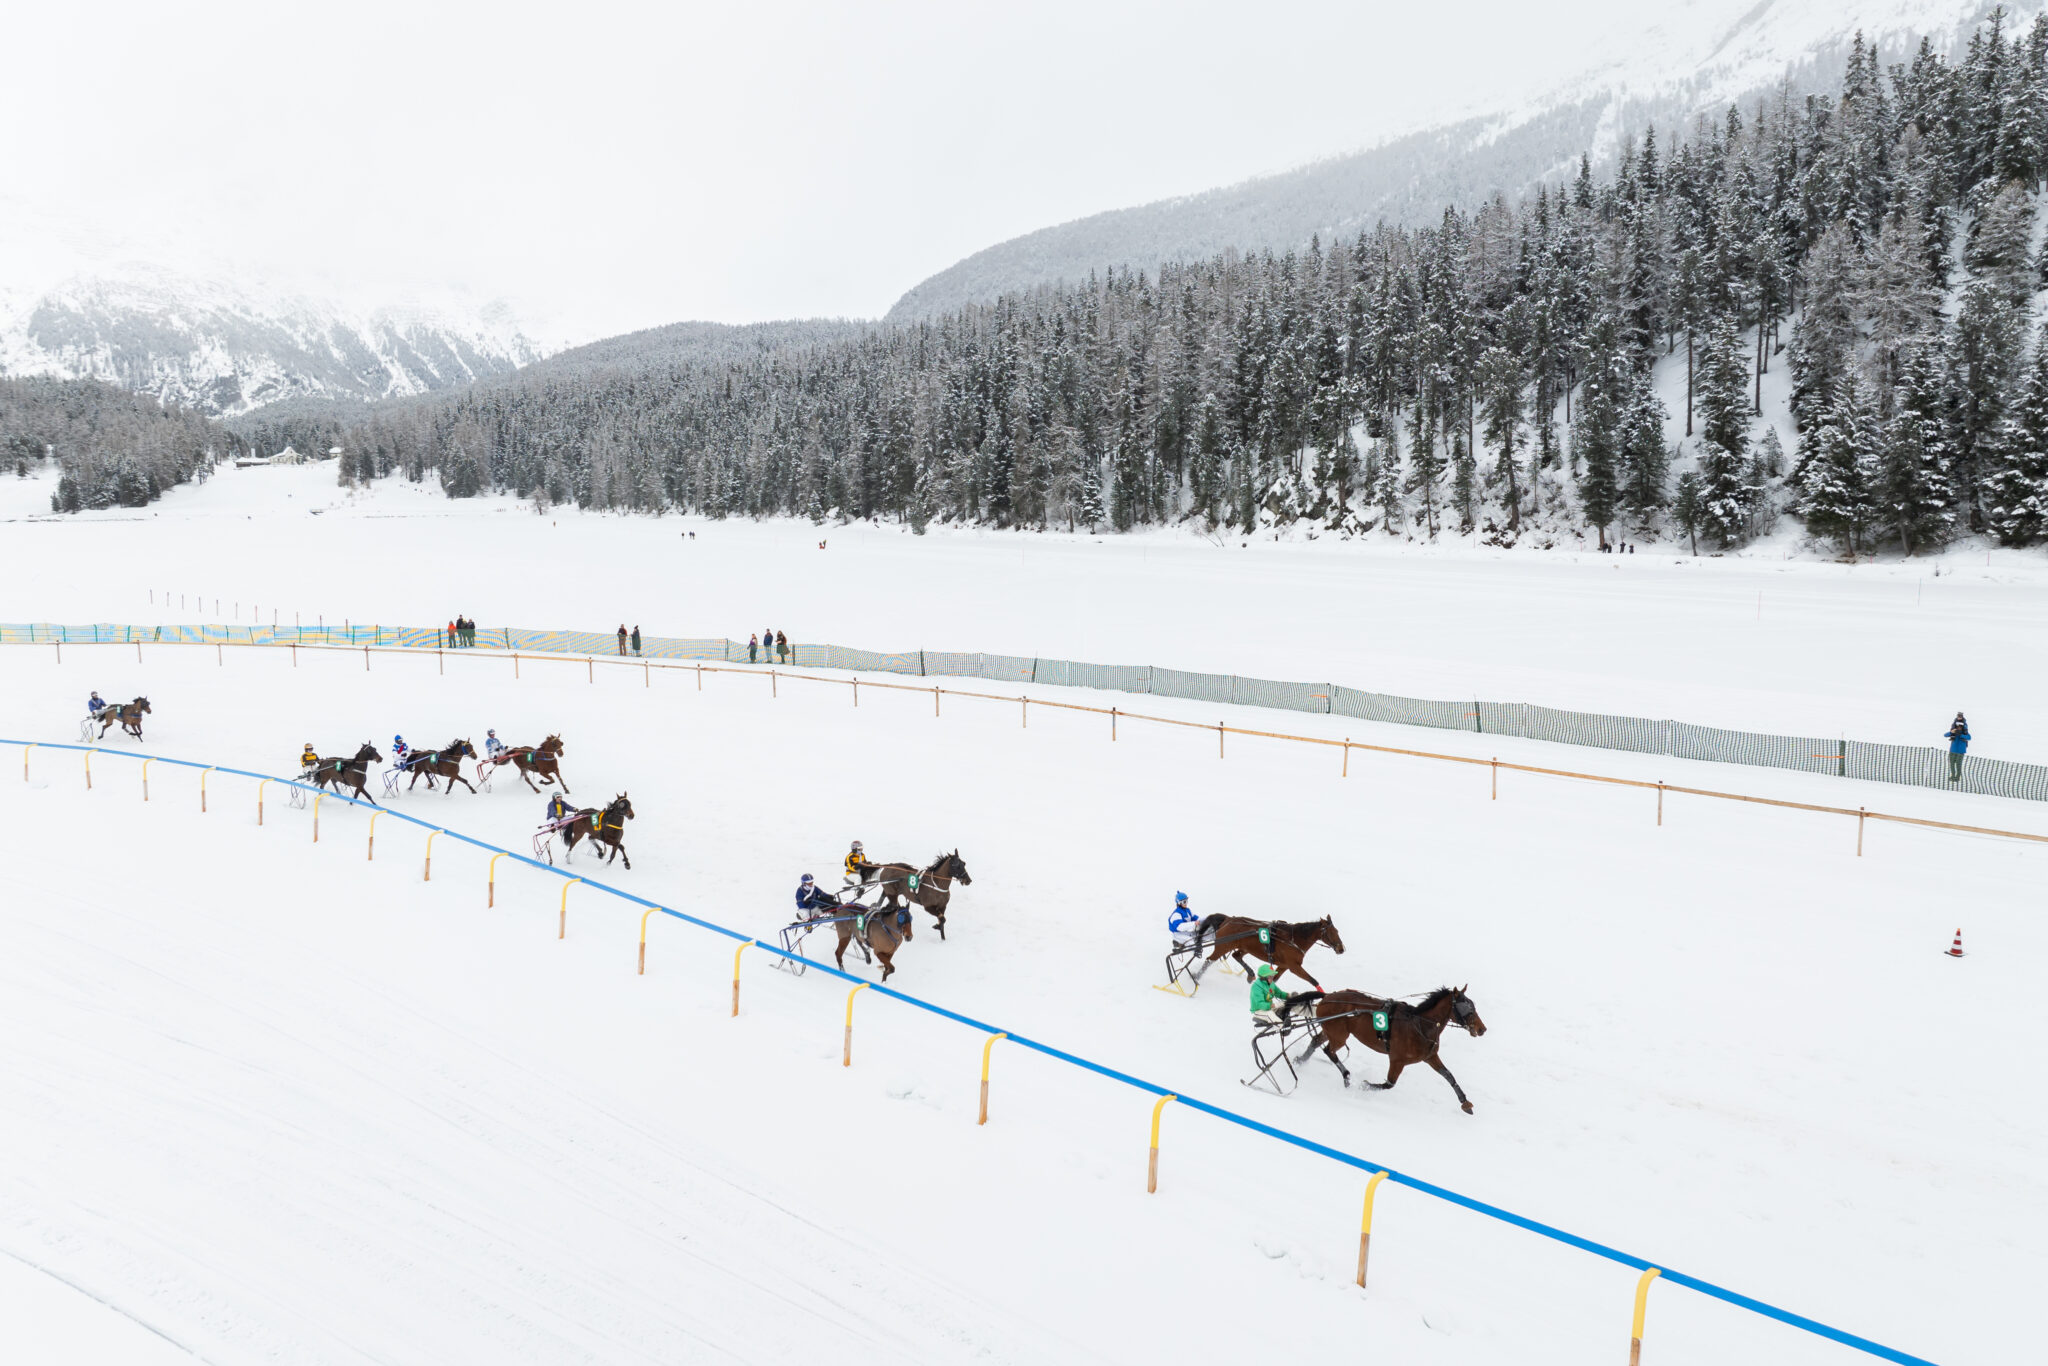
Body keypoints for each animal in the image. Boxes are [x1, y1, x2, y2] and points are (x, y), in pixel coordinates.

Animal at [1187, 913, 1343, 987]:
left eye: (1337, 931)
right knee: (1209, 960)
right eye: (1331, 932)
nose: (1341, 948)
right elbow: (1313, 980)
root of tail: (1228, 919)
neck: (1293, 939)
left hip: (1245, 947)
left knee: (1237, 956)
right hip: (1223, 946)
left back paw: (1250, 975)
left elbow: (1274, 979)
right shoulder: (1294, 967)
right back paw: (1196, 977)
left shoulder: (1284, 966)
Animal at [1277, 987, 1490, 1114]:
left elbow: (1449, 1076)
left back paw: (1301, 1060)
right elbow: (1389, 1084)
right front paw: (1364, 1085)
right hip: (1339, 1034)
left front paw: (1465, 1102)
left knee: (1316, 1041)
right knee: (1329, 1051)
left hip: (1331, 1030)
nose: (1482, 1029)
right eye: (1468, 1008)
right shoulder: (1397, 1060)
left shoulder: (1430, 1056)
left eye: (1473, 1006)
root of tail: (1328, 997)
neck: (1419, 1024)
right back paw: (1346, 1076)